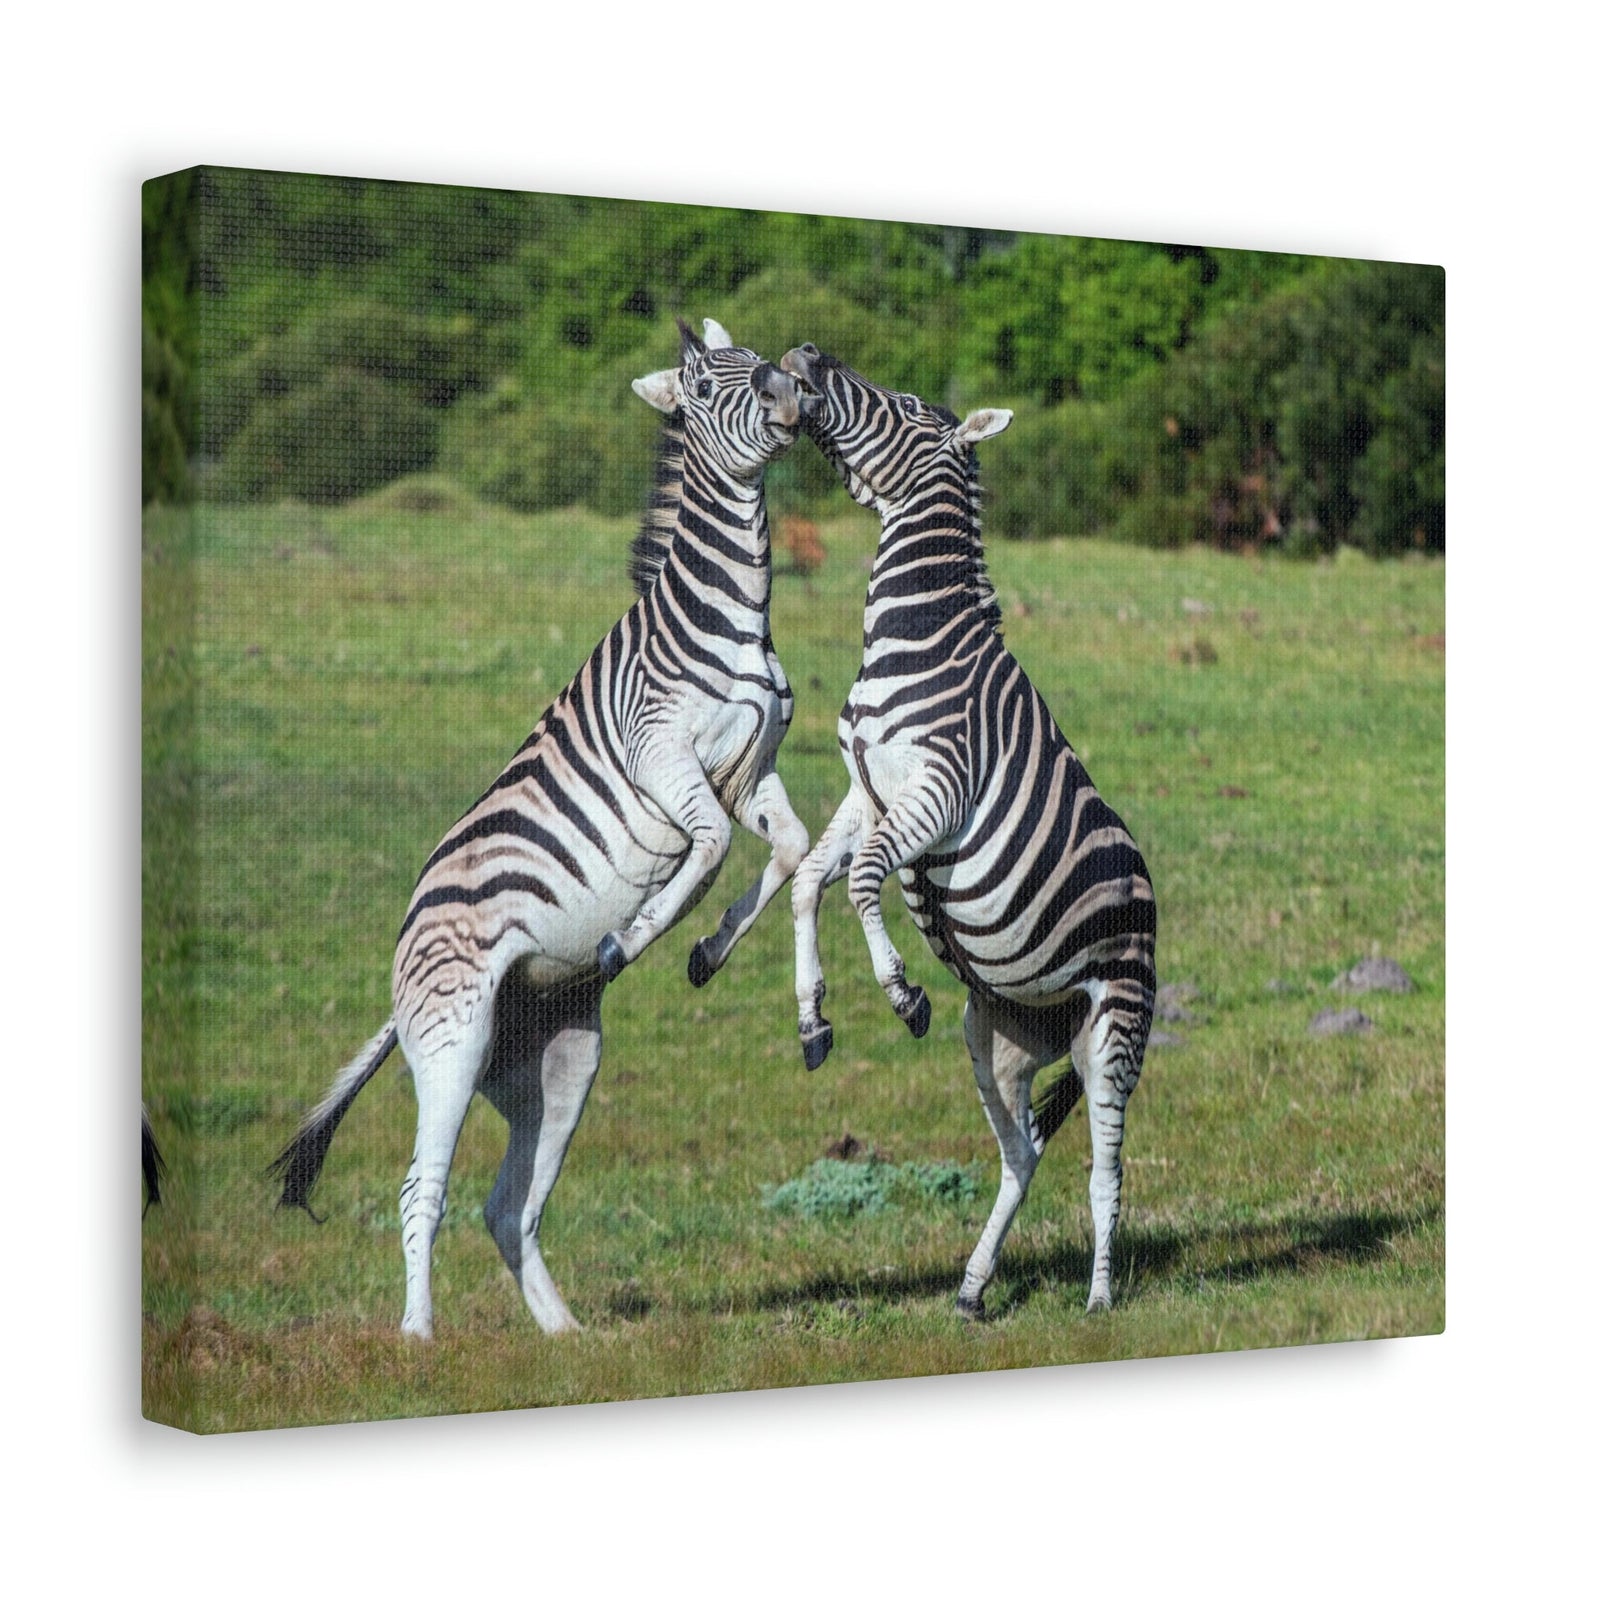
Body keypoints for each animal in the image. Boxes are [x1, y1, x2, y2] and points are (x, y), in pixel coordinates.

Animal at [270, 319, 811, 1338]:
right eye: (707, 385)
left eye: (756, 357)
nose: (791, 386)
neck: (732, 617)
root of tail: (402, 958)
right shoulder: (665, 760)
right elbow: (712, 849)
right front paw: (638, 934)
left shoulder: (749, 771)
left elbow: (787, 850)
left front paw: (709, 953)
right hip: (453, 1041)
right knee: (422, 1190)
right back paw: (418, 1338)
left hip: (555, 1062)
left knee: (507, 1203)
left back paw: (563, 1335)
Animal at [781, 342, 1157, 1318]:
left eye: (909, 405)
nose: (805, 356)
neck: (912, 632)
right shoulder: (865, 790)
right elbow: (810, 880)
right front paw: (813, 1017)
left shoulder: (939, 794)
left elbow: (864, 878)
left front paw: (898, 990)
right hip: (998, 1036)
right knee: (1022, 1152)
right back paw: (973, 1289)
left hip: (1116, 1025)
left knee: (1106, 1167)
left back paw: (1099, 1300)